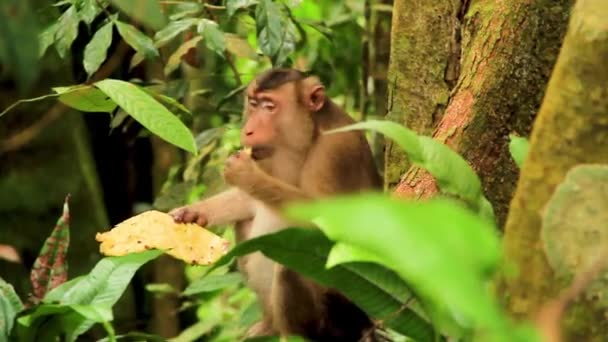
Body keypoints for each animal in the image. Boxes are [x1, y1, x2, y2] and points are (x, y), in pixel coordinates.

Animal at [169, 68, 382, 340]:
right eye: (253, 103)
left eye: (270, 107)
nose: (247, 130)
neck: (309, 133)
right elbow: (250, 201)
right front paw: (194, 212)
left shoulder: (335, 150)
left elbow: (329, 227)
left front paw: (245, 173)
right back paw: (269, 325)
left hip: (340, 315)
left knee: (290, 267)